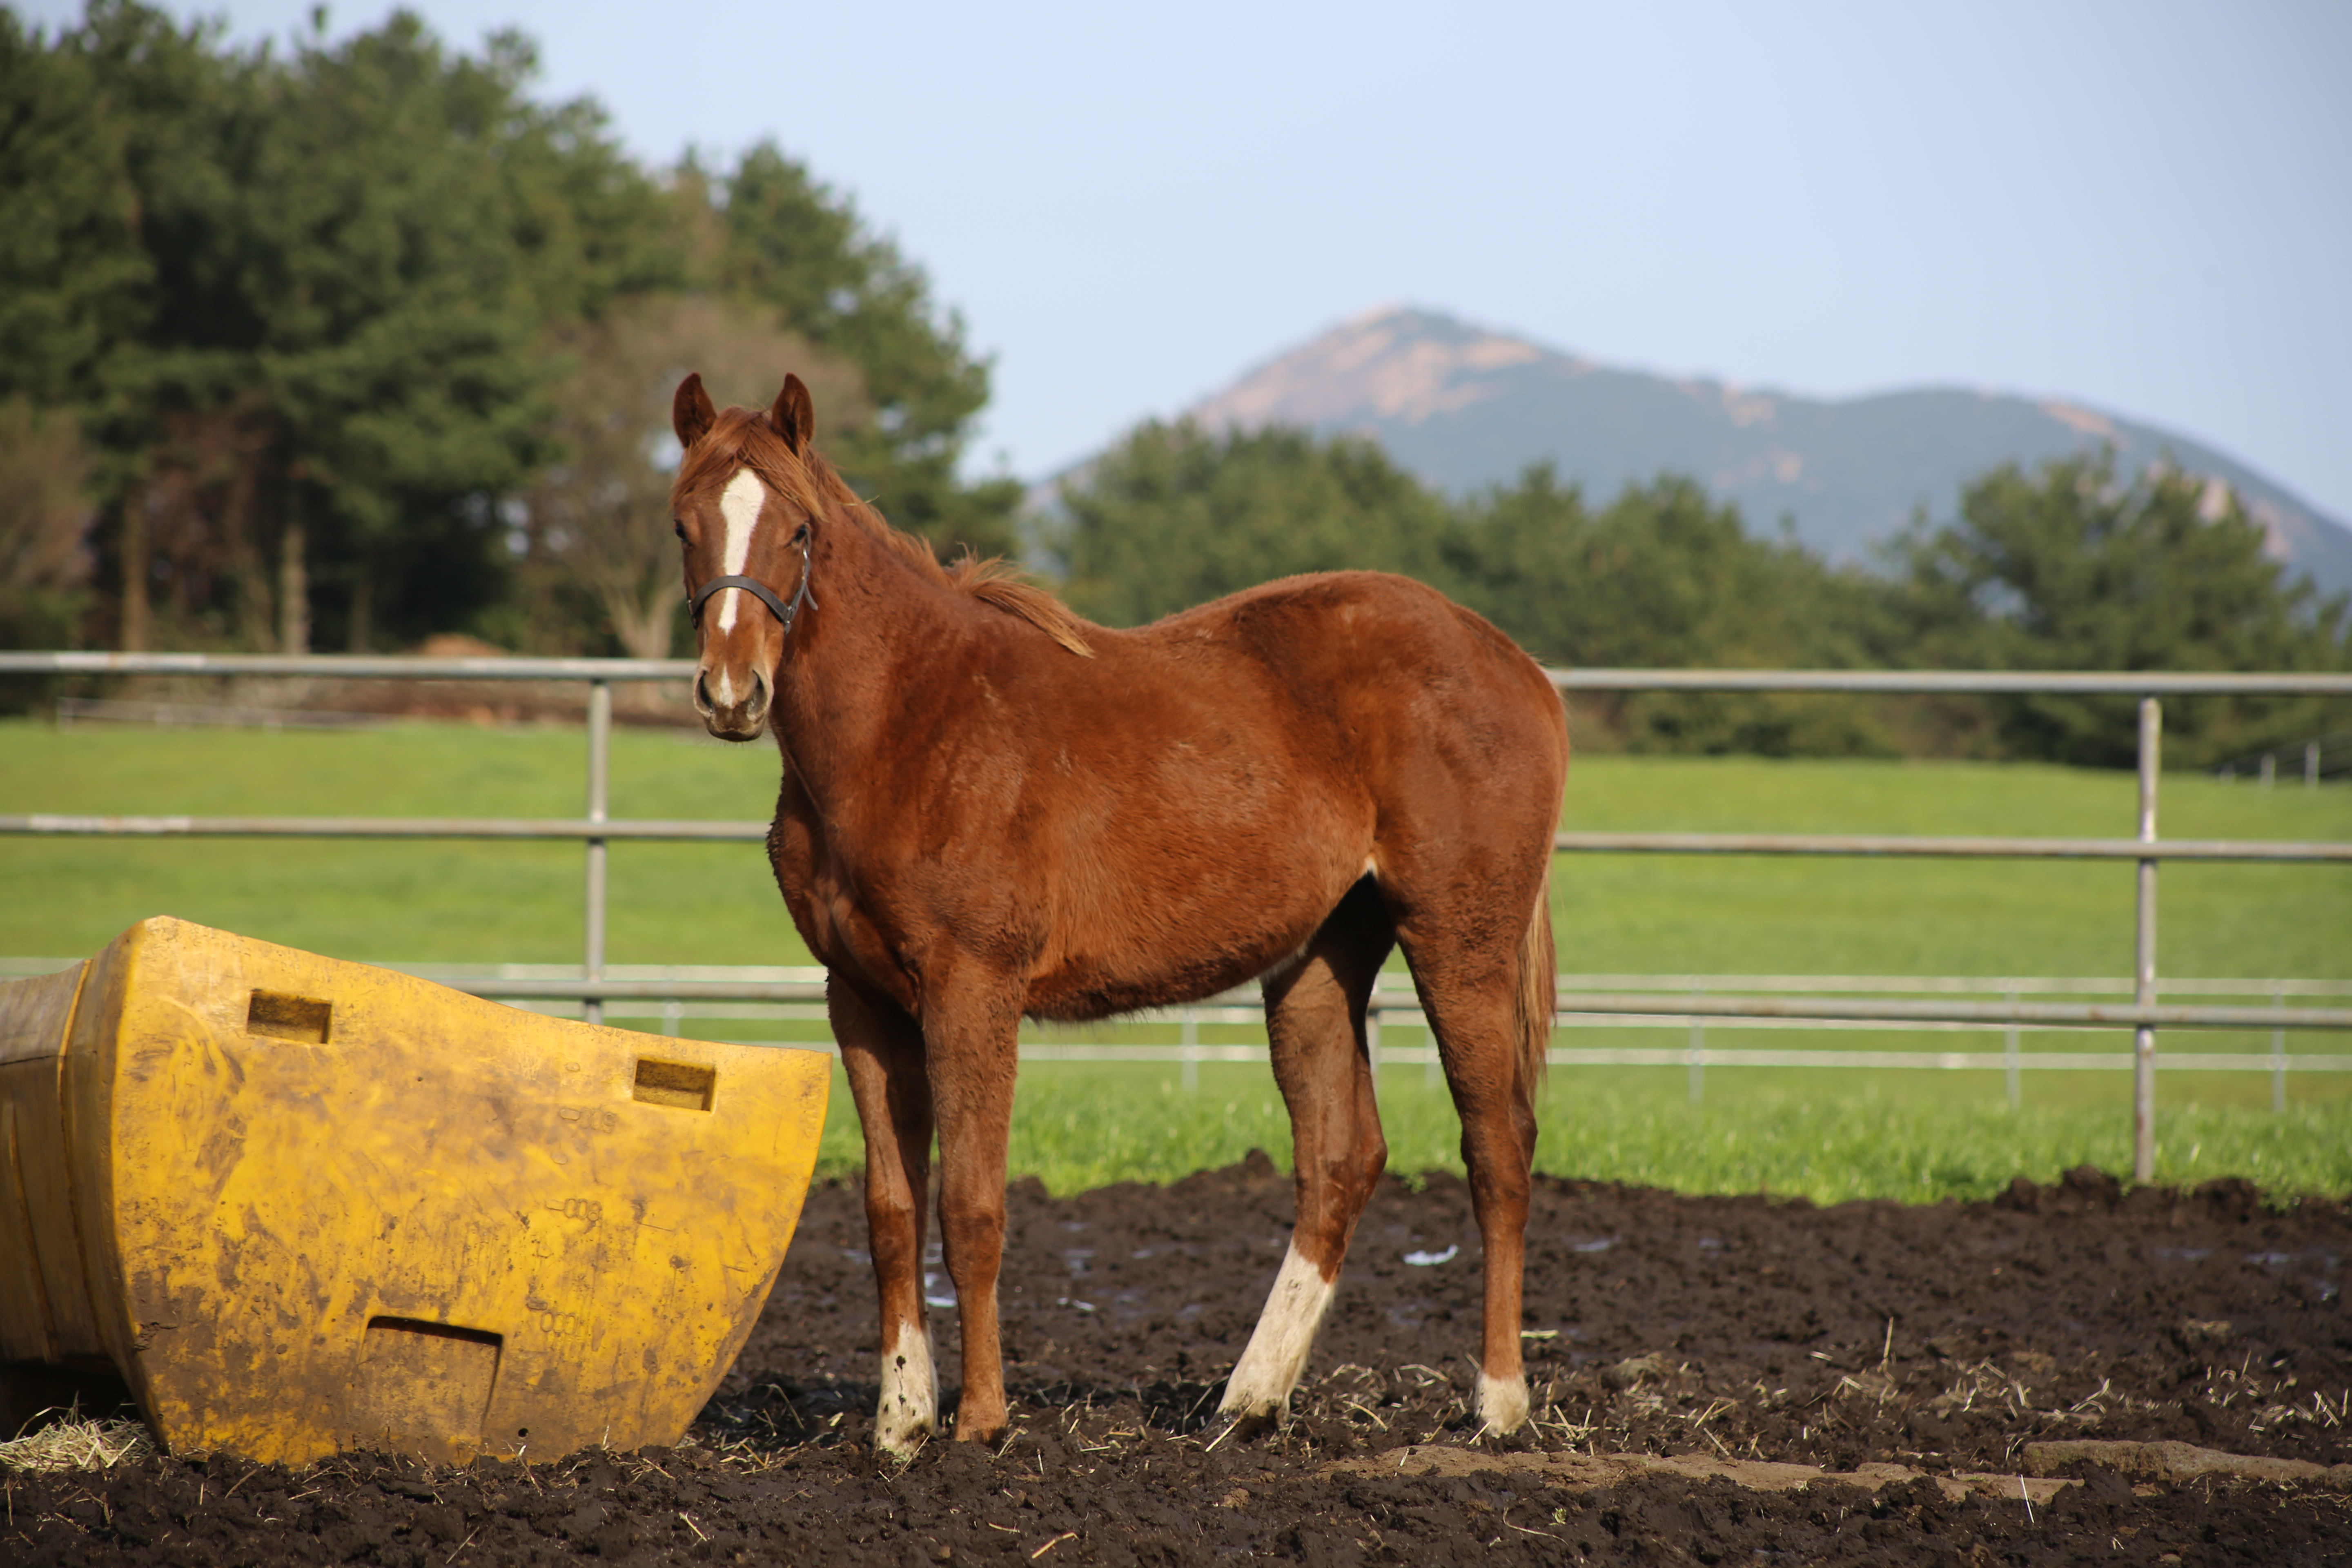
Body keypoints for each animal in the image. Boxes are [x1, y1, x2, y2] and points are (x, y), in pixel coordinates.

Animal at [673, 374, 1571, 1457]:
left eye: (798, 530)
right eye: (683, 525)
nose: (732, 693)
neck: (908, 724)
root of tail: (1516, 665)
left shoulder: (972, 988)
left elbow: (970, 1206)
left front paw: (979, 1420)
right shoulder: (861, 999)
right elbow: (891, 1210)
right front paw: (899, 1421)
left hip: (1459, 941)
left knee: (1497, 1147)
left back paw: (1498, 1403)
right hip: (1319, 958)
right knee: (1340, 1158)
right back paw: (1249, 1398)